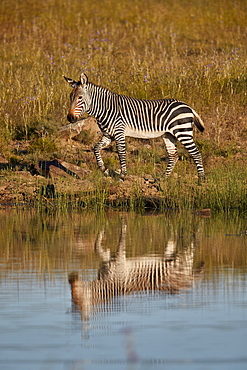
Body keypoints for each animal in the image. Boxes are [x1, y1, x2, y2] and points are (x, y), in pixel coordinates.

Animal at [63, 72, 205, 181]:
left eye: (80, 98)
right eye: (70, 97)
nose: (70, 118)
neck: (106, 109)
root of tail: (188, 106)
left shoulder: (119, 132)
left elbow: (121, 153)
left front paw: (122, 175)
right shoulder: (108, 135)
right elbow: (96, 148)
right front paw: (104, 170)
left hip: (183, 132)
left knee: (196, 153)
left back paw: (201, 180)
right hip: (169, 135)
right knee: (173, 156)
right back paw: (163, 178)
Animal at [68, 220, 203, 320]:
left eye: (76, 297)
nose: (70, 278)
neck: (103, 282)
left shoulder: (119, 259)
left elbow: (119, 239)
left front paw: (121, 224)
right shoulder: (109, 259)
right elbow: (97, 246)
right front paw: (102, 231)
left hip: (182, 261)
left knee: (192, 247)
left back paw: (197, 233)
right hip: (170, 258)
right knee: (172, 243)